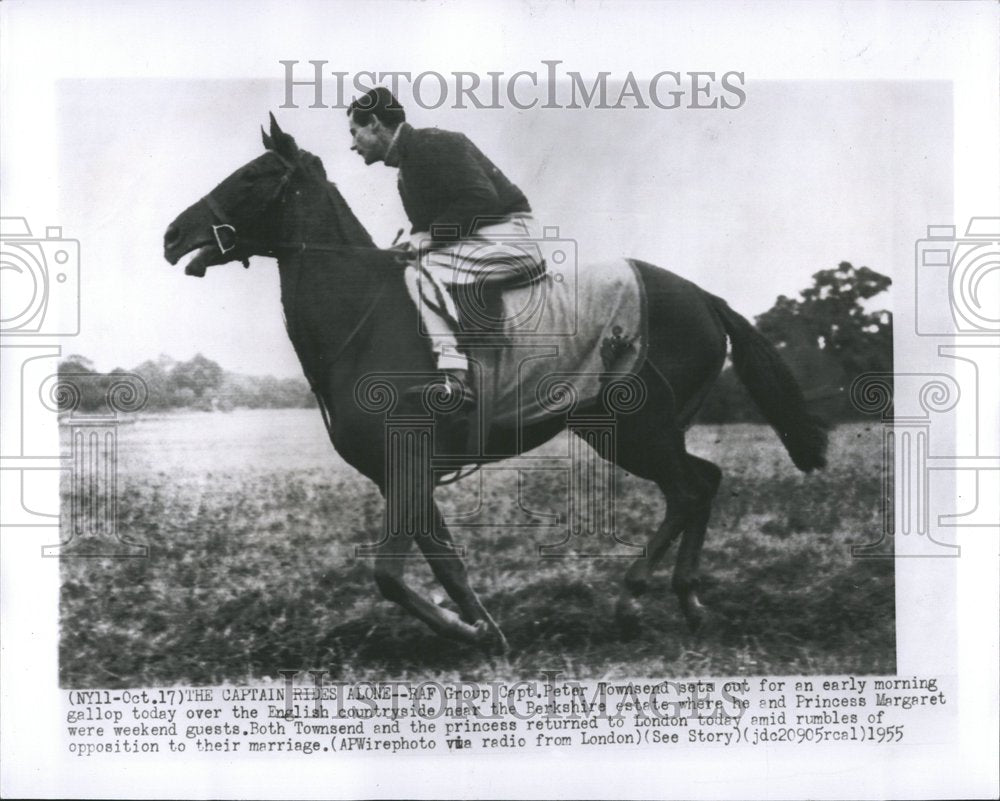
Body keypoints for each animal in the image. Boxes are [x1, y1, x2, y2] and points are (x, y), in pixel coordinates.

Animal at [164, 114, 824, 648]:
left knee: (689, 489)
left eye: (252, 177)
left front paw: (471, 632)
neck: (364, 315)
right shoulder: (400, 472)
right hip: (635, 430)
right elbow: (444, 563)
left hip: (638, 429)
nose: (172, 236)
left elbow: (389, 574)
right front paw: (485, 628)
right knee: (703, 482)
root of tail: (704, 297)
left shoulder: (407, 463)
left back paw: (633, 601)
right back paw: (687, 600)